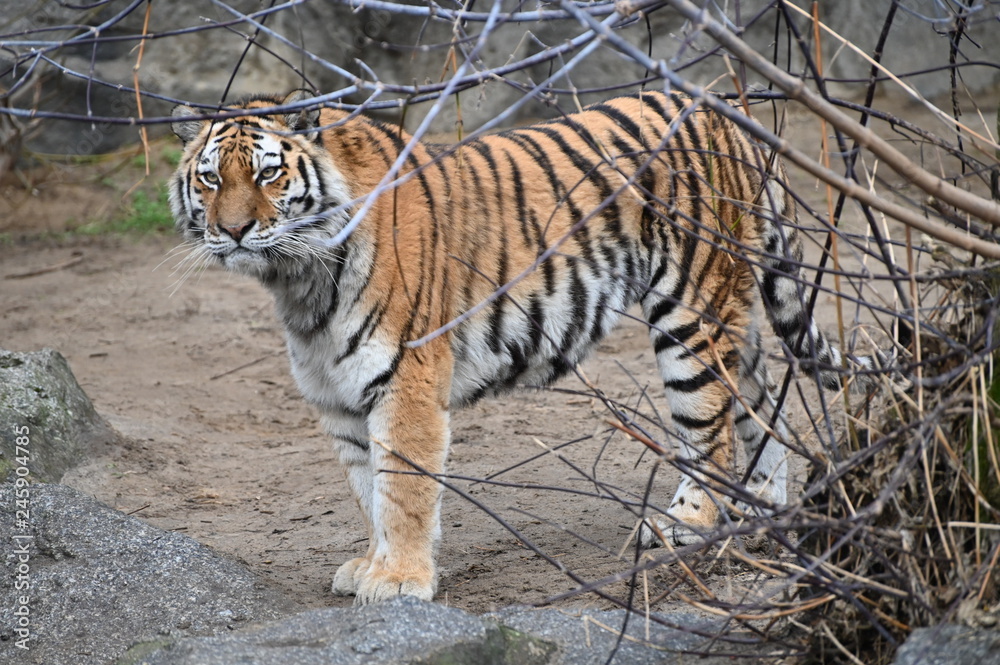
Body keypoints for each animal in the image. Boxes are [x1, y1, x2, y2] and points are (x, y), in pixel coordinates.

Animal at [169, 89, 902, 605]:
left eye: (268, 174)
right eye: (210, 179)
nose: (232, 231)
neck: (297, 281)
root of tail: (731, 119)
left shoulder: (405, 377)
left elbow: (402, 487)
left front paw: (401, 579)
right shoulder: (339, 397)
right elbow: (366, 489)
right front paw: (372, 563)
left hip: (692, 314)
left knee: (712, 430)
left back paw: (686, 524)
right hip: (729, 312)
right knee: (758, 405)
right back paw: (759, 511)